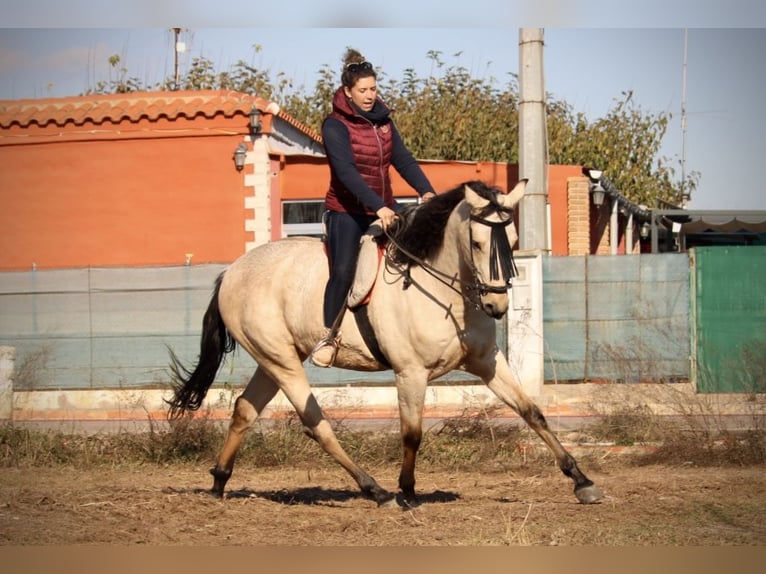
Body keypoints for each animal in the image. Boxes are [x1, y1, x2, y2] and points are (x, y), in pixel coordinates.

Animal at [168, 180, 608, 508]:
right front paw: (408, 492)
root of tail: (231, 272)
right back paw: (375, 489)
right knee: (316, 423)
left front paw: (582, 481)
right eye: (479, 244)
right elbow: (412, 433)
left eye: (514, 240)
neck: (444, 290)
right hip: (282, 363)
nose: (497, 306)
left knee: (245, 410)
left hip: (272, 359)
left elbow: (533, 412)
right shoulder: (410, 372)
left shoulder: (486, 362)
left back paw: (219, 482)